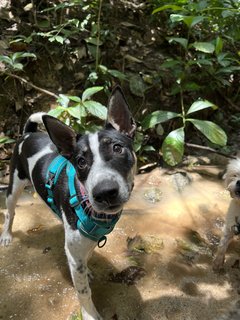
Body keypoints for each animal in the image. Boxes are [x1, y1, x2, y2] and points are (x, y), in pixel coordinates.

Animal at [0, 85, 137, 320]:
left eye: (118, 148)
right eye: (81, 162)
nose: (105, 192)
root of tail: (28, 133)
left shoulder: (82, 244)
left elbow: (84, 259)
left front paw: (87, 270)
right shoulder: (74, 250)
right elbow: (83, 291)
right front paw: (90, 314)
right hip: (14, 186)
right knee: (10, 212)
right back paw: (7, 235)